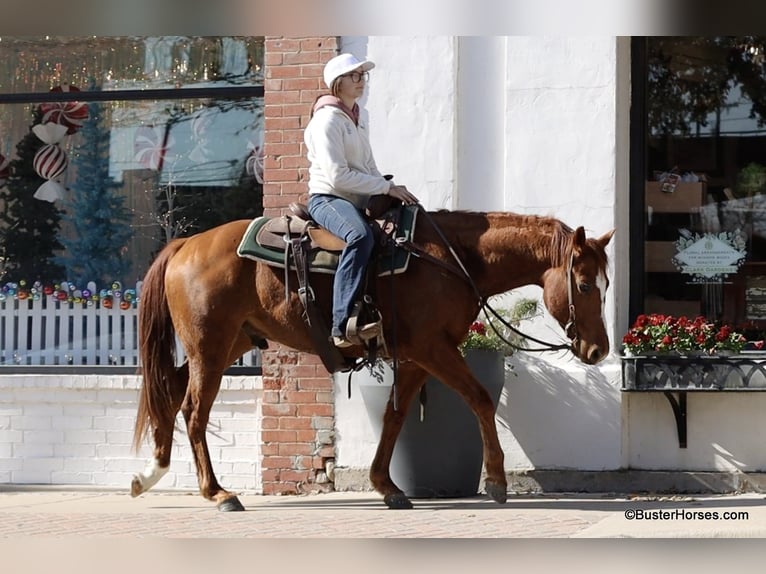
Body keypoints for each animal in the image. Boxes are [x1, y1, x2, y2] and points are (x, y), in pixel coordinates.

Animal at [130, 208, 614, 511]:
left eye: (606, 284)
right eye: (584, 285)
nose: (599, 351)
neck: (454, 260)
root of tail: (187, 243)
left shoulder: (417, 356)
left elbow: (395, 416)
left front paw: (387, 486)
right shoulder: (433, 348)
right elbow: (479, 398)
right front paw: (495, 481)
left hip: (227, 343)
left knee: (170, 393)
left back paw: (150, 474)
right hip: (210, 347)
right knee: (194, 410)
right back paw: (218, 493)